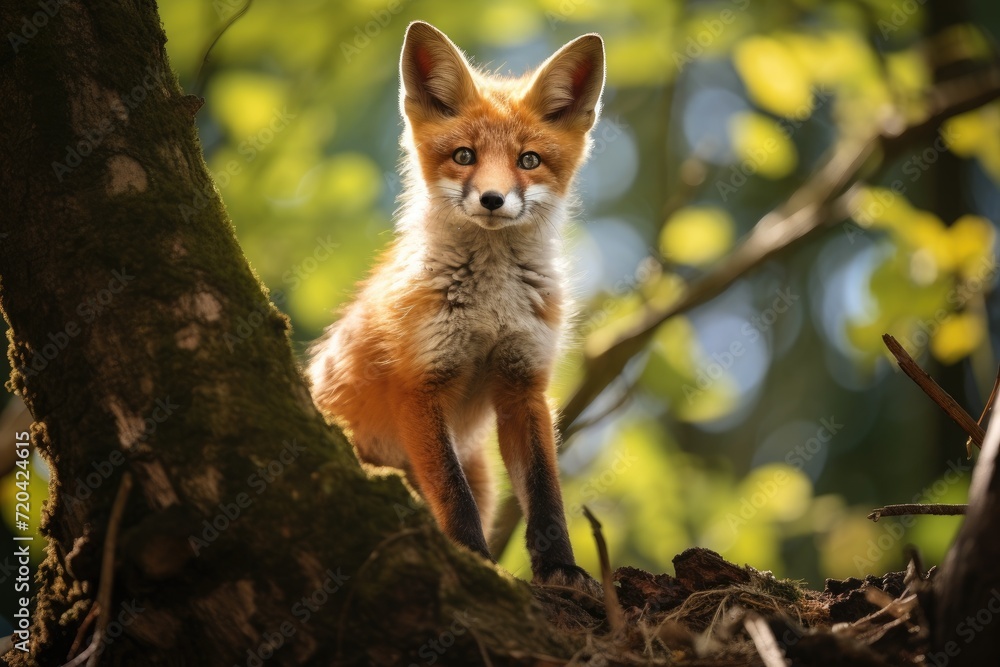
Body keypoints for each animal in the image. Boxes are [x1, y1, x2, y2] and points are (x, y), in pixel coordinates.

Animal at [308, 21, 605, 590]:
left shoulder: (523, 386)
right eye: (464, 156)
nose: (492, 199)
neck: (490, 308)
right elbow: (452, 494)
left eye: (528, 161)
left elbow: (546, 495)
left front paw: (561, 568)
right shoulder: (420, 385)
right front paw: (474, 560)